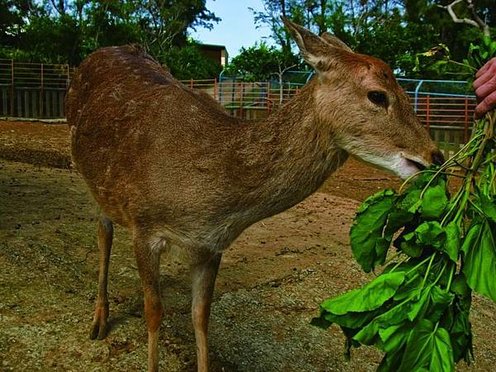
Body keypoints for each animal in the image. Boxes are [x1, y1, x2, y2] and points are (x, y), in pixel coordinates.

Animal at [65, 18, 442, 372]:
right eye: (377, 95)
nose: (435, 156)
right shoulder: (144, 225)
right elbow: (154, 312)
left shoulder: (210, 246)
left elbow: (200, 316)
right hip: (89, 175)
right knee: (103, 233)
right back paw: (98, 321)